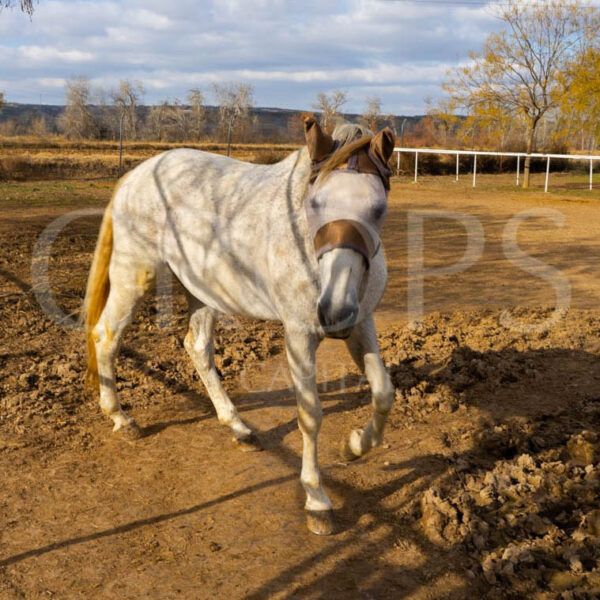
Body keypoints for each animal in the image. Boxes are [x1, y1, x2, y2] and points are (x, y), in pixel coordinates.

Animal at [83, 117, 394, 536]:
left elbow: (383, 393)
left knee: (197, 348)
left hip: (200, 288)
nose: (334, 310)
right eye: (315, 204)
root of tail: (138, 174)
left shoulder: (361, 325)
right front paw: (317, 500)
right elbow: (310, 415)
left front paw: (355, 445)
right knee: (107, 338)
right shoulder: (300, 336)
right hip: (135, 274)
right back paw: (120, 417)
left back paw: (238, 427)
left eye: (378, 209)